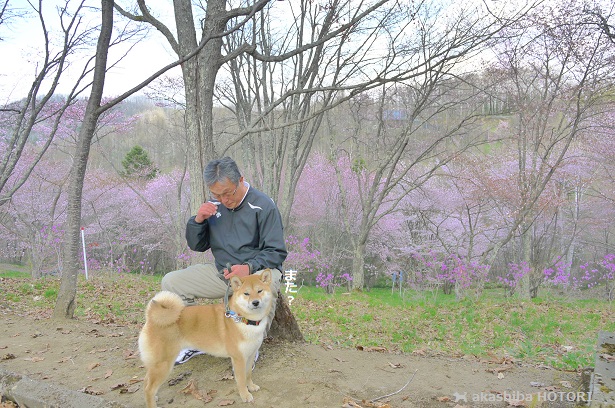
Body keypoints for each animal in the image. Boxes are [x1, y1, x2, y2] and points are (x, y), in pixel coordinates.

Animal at [141, 270, 276, 406]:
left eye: (259, 291)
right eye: (246, 293)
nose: (255, 302)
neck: (244, 320)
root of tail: (151, 318)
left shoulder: (250, 354)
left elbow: (248, 374)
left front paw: (251, 386)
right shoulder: (239, 359)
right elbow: (241, 379)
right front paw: (245, 395)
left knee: (146, 381)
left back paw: (155, 397)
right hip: (163, 364)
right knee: (148, 389)